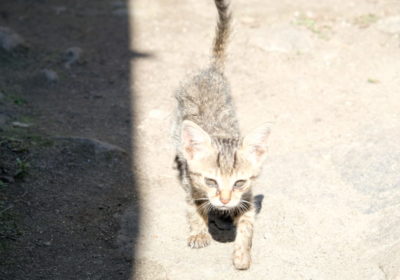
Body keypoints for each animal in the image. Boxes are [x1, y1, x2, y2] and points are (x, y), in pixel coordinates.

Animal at [173, 0, 270, 270]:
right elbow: (194, 208)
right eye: (211, 182)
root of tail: (211, 71)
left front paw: (242, 254)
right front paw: (198, 232)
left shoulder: (248, 198)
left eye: (238, 182)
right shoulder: (192, 186)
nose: (225, 201)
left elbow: (247, 224)